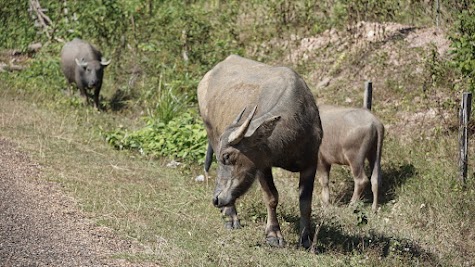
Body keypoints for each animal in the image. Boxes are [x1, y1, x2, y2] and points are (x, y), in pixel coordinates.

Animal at [197, 55, 324, 249]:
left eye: (227, 156)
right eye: (220, 157)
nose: (216, 199)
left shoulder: (311, 163)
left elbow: (305, 204)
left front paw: (306, 239)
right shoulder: (262, 165)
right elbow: (271, 197)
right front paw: (273, 235)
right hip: (210, 131)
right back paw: (231, 216)